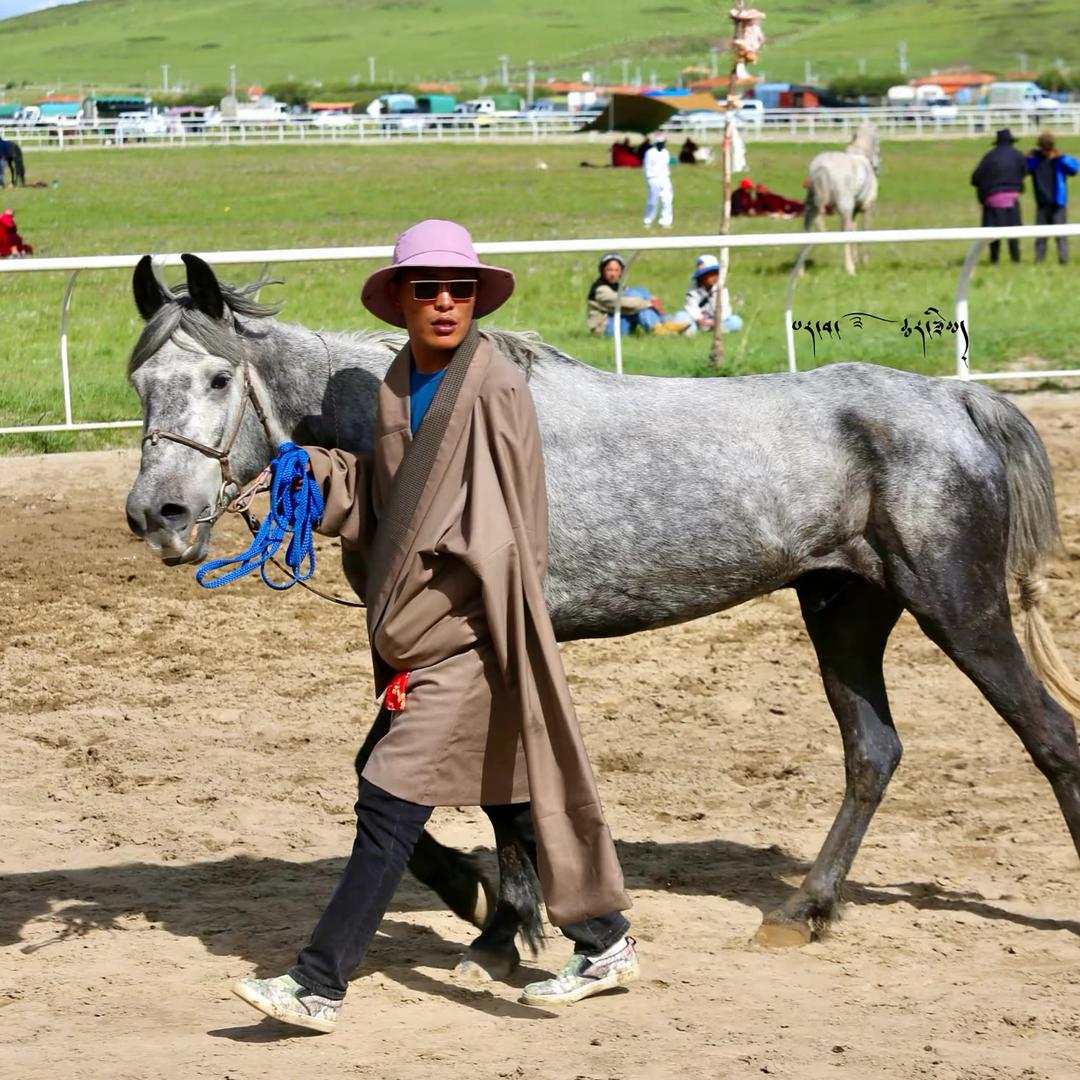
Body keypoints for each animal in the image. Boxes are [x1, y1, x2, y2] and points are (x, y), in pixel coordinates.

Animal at [125, 254, 1080, 973]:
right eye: (140, 382)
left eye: (219, 376)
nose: (157, 514)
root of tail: (954, 401)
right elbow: (393, 775)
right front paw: (487, 907)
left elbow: (479, 790)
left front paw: (501, 923)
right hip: (844, 612)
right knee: (873, 753)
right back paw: (802, 910)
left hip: (960, 609)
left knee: (1051, 739)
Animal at [804, 123, 880, 275]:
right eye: (878, 142)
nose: (877, 167)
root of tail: (821, 166)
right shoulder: (866, 208)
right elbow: (864, 232)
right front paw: (864, 261)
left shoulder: (854, 211)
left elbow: (854, 231)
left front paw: (856, 258)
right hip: (844, 208)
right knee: (844, 233)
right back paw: (850, 269)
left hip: (811, 207)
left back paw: (801, 272)